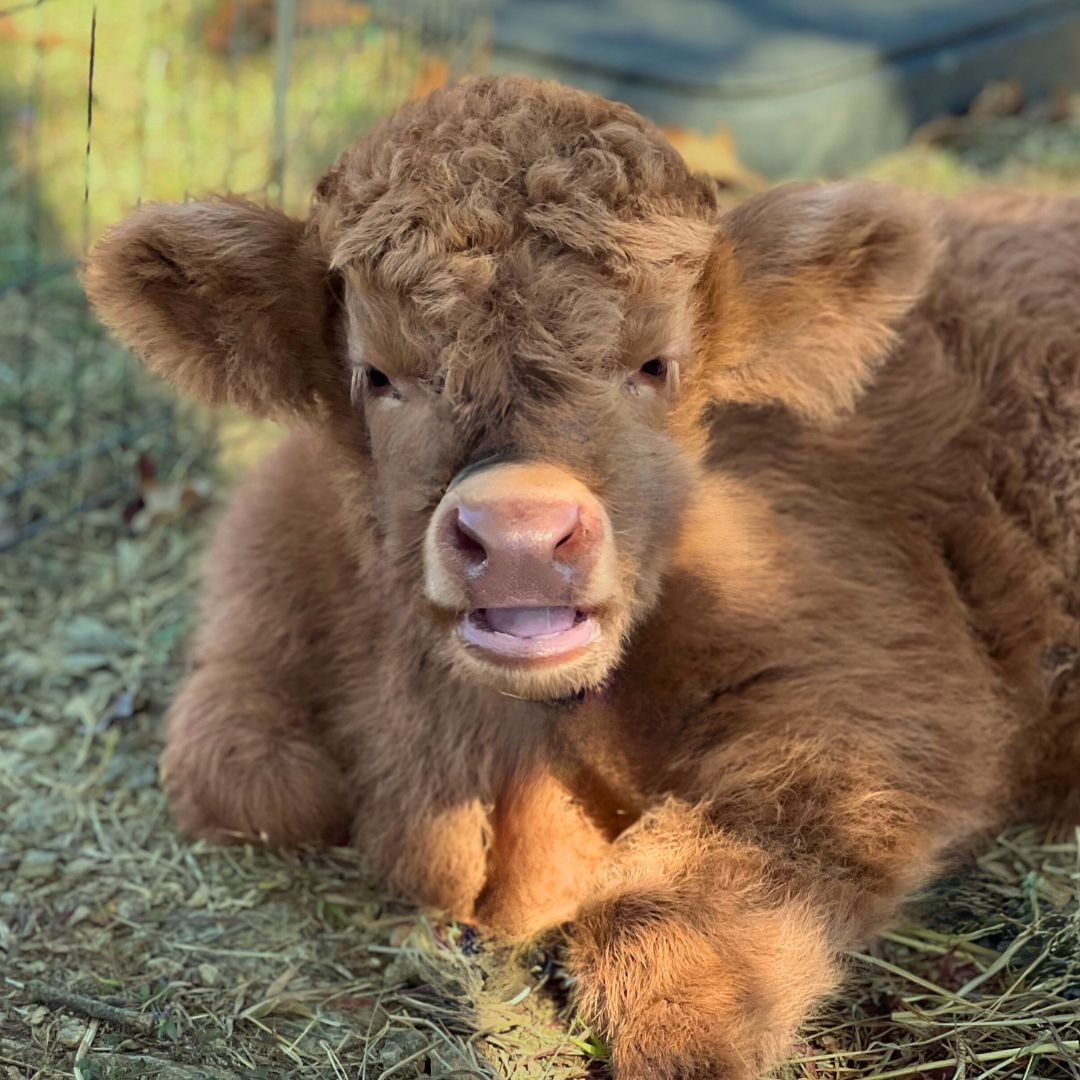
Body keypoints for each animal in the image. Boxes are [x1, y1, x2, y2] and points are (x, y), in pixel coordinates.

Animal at [84, 76, 1080, 1079]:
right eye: (378, 374)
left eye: (654, 366)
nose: (521, 533)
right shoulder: (258, 605)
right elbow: (243, 778)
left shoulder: (883, 675)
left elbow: (685, 911)